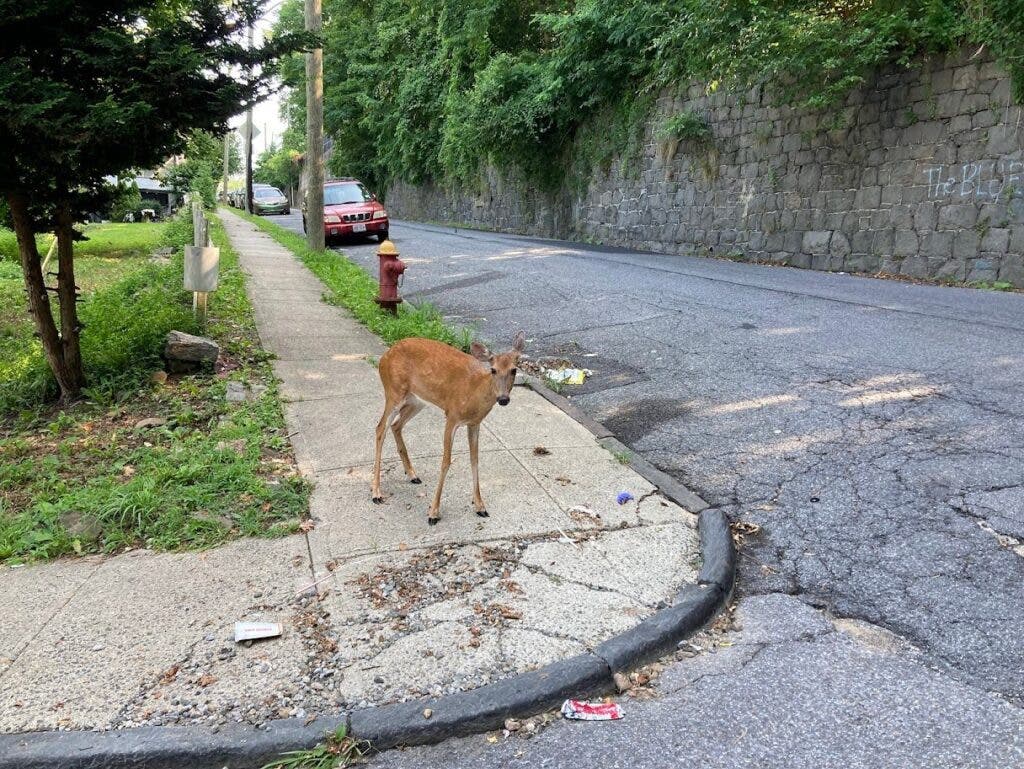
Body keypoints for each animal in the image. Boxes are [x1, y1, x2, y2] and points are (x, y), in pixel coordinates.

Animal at [371, 331, 526, 526]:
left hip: (417, 400)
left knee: (396, 425)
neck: (474, 392)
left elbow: (474, 459)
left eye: (514, 369)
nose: (503, 399)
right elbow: (446, 462)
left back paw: (412, 475)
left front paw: (480, 506)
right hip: (393, 392)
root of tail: (385, 356)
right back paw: (376, 493)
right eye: (493, 370)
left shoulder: (474, 423)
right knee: (380, 428)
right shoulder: (451, 417)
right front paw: (433, 513)